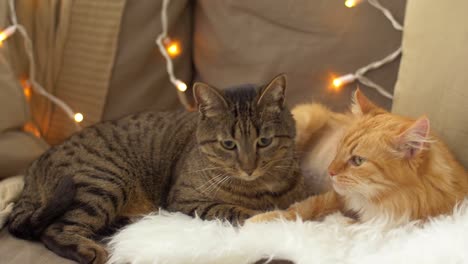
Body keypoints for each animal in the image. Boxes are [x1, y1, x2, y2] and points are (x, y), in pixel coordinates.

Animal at [9, 75, 308, 264]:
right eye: (228, 144)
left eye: (264, 141)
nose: (249, 168)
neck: (258, 186)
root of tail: (33, 169)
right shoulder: (184, 199)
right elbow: (239, 210)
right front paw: (268, 214)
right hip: (104, 182)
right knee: (52, 230)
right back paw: (89, 250)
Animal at [250, 89, 468, 227]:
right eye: (338, 149)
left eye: (357, 161)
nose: (330, 171)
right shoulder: (336, 196)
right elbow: (301, 209)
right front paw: (258, 221)